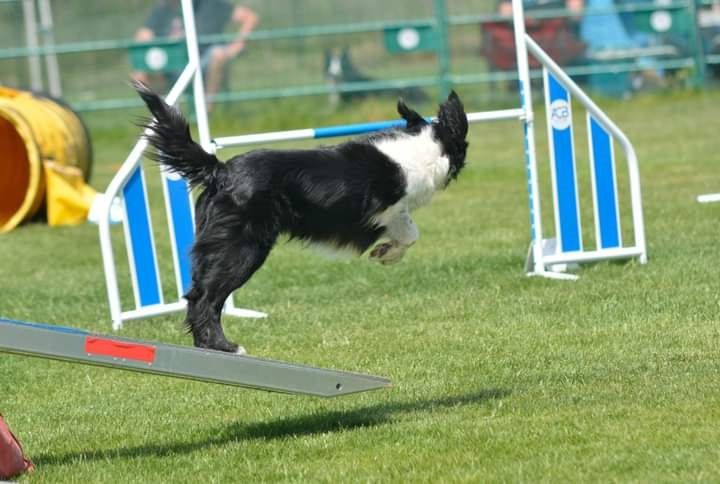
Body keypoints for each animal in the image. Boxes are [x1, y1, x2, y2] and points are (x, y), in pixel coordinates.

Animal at [135, 78, 470, 352]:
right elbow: (410, 231)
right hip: (243, 247)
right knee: (206, 298)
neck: (427, 147)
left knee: (196, 294)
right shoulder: (387, 208)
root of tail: (220, 170)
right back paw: (224, 347)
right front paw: (386, 253)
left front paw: (385, 251)